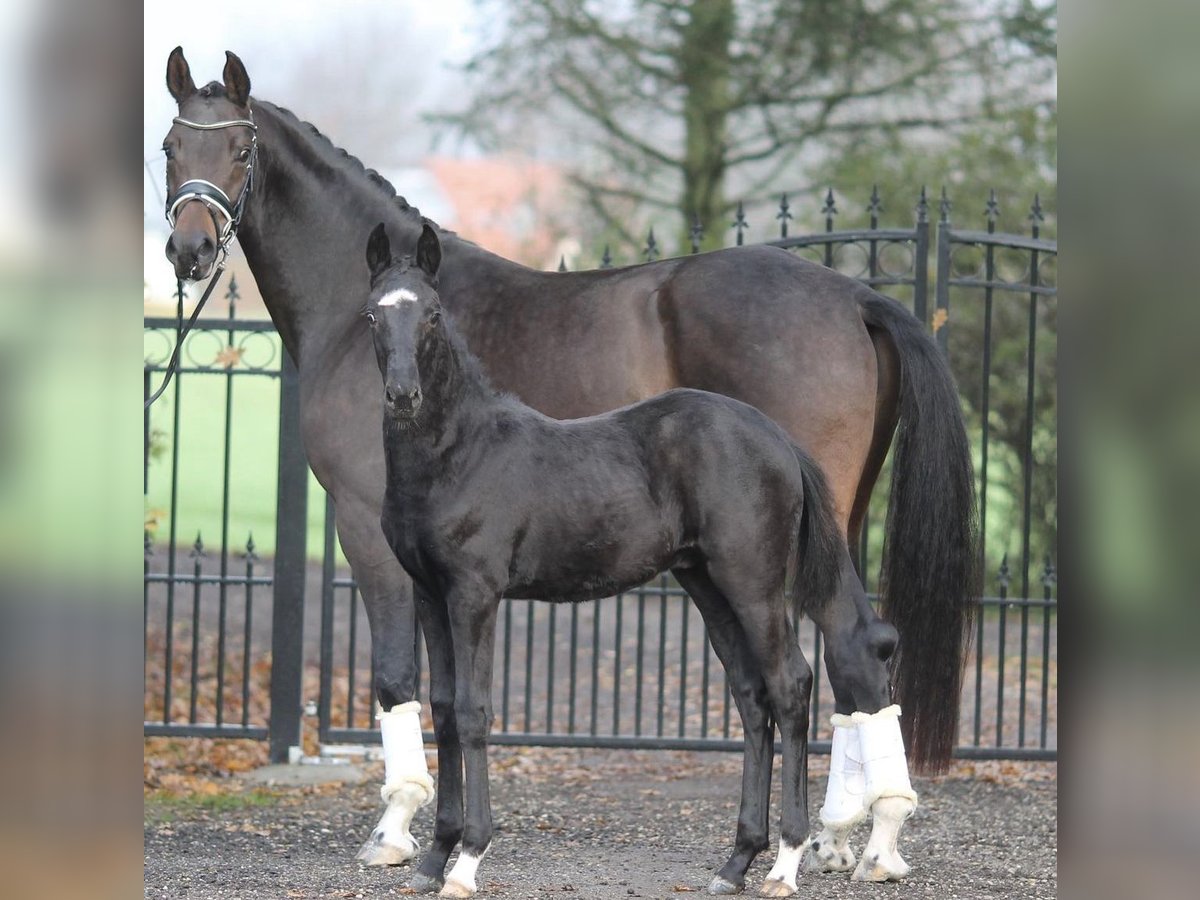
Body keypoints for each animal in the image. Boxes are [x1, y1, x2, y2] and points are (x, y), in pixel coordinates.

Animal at [362, 222, 864, 897]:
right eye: (373, 314)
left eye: (434, 315)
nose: (403, 396)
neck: (459, 453)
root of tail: (777, 437)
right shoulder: (428, 593)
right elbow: (441, 709)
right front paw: (433, 857)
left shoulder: (475, 594)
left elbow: (472, 710)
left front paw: (467, 860)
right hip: (706, 584)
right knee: (751, 695)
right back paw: (736, 861)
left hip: (753, 585)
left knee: (790, 686)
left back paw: (785, 862)